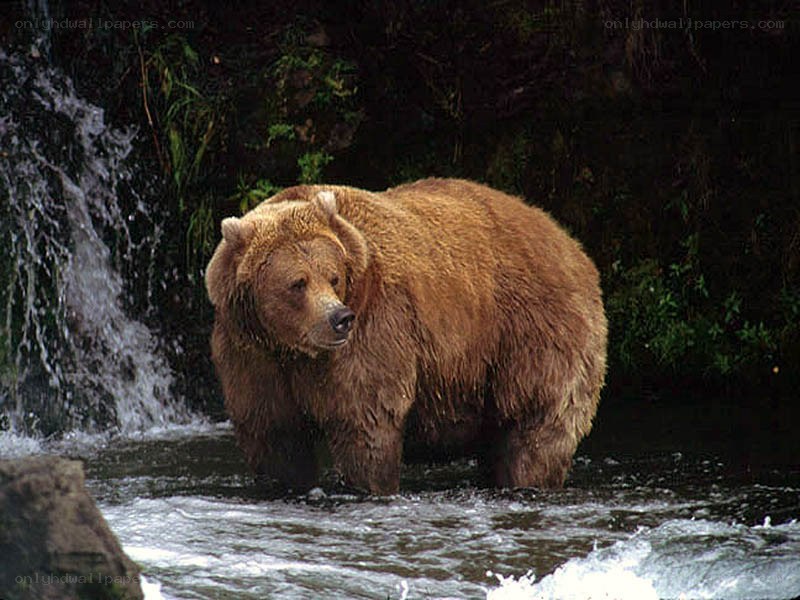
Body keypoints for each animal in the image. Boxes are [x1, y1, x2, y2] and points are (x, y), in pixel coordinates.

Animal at [205, 178, 607, 495]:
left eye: (333, 276)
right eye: (297, 283)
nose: (339, 319)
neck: (291, 349)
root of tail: (571, 245)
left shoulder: (374, 331)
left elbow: (366, 423)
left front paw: (366, 484)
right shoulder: (251, 355)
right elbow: (275, 437)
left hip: (532, 336)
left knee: (537, 429)